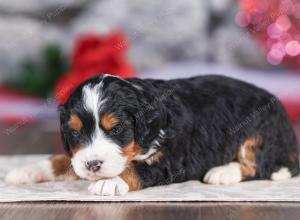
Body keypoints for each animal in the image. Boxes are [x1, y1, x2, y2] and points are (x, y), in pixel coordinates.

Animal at [5, 74, 298, 196]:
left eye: (116, 129)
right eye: (74, 133)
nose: (93, 165)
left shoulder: (175, 159)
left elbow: (138, 169)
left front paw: (110, 182)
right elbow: (64, 160)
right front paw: (27, 170)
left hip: (259, 131)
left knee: (259, 166)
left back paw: (222, 171)